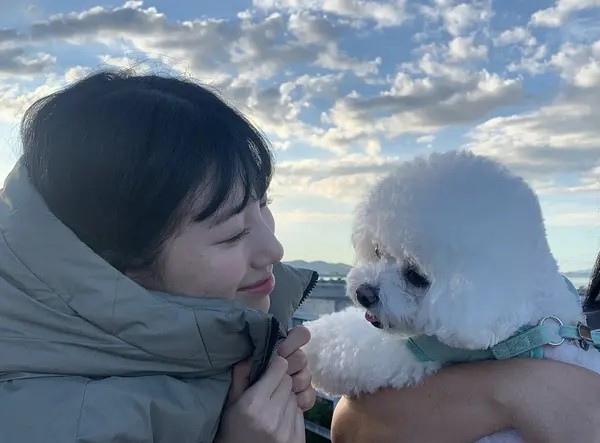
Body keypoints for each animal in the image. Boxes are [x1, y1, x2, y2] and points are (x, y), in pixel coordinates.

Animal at [302, 150, 600, 442]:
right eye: (378, 251)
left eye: (416, 275)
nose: (363, 294)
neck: (529, 327)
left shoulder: (420, 351)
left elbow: (352, 344)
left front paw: (309, 344)